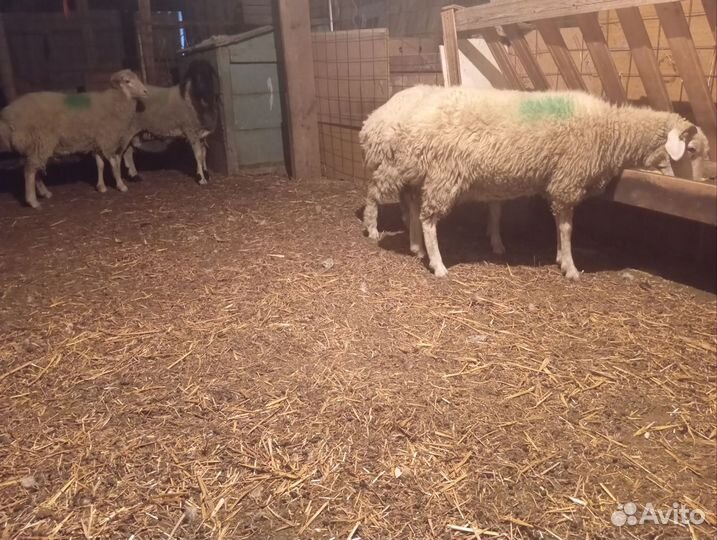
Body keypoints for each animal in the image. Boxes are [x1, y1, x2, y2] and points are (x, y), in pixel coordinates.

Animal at [0, 69, 148, 208]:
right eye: (128, 81)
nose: (146, 91)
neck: (115, 101)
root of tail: (8, 114)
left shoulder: (97, 141)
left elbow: (100, 164)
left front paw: (101, 187)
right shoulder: (107, 139)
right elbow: (114, 163)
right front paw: (121, 185)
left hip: (35, 146)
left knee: (35, 170)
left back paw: (45, 193)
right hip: (41, 141)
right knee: (29, 171)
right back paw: (33, 201)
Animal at [361, 86, 709, 279]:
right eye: (691, 150)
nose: (706, 180)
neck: (608, 130)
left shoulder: (557, 182)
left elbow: (554, 224)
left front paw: (557, 257)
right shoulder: (567, 180)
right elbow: (567, 228)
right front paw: (570, 267)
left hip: (424, 172)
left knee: (415, 209)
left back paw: (417, 247)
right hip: (443, 174)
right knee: (421, 215)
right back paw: (434, 262)